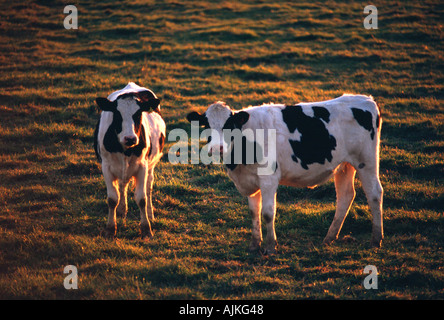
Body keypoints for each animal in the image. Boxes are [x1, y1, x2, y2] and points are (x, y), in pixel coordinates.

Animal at [94, 82, 166, 238]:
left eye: (138, 114)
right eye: (117, 114)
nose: (130, 138)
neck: (125, 149)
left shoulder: (142, 167)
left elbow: (142, 199)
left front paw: (146, 229)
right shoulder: (106, 167)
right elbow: (112, 199)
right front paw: (110, 228)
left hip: (150, 166)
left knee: (148, 187)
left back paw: (150, 215)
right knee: (122, 185)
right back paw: (121, 210)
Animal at [186, 94, 384, 254]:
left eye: (229, 125)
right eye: (205, 125)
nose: (216, 148)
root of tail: (365, 99)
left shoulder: (269, 179)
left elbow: (267, 212)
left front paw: (270, 247)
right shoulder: (250, 180)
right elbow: (253, 212)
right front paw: (254, 244)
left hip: (366, 160)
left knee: (374, 193)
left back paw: (376, 239)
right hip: (344, 165)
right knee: (345, 195)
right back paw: (329, 237)